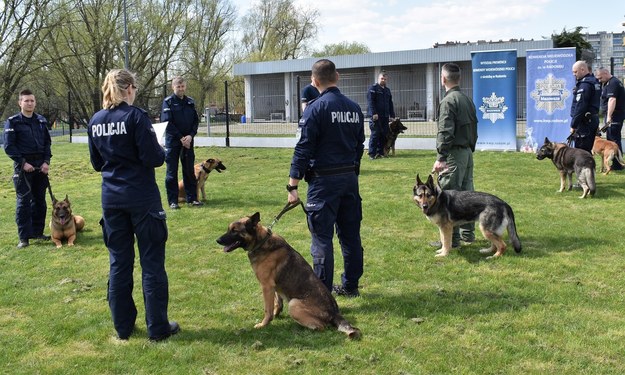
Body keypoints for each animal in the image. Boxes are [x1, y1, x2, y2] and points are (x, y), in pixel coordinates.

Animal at [216, 213, 358, 340]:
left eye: (235, 231)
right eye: (228, 229)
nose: (217, 240)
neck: (261, 242)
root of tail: (334, 312)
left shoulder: (266, 286)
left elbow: (267, 309)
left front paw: (264, 324)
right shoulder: (274, 287)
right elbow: (276, 303)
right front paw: (275, 315)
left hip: (294, 304)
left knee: (322, 327)